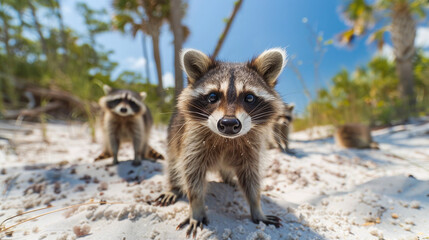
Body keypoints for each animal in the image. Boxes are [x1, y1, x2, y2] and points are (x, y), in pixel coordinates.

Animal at [155, 48, 288, 236]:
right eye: (212, 96)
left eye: (249, 98)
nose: (229, 124)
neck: (226, 139)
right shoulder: (192, 140)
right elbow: (191, 173)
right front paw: (196, 208)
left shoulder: (253, 147)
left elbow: (251, 178)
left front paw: (256, 207)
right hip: (173, 138)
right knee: (174, 164)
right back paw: (173, 187)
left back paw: (228, 178)